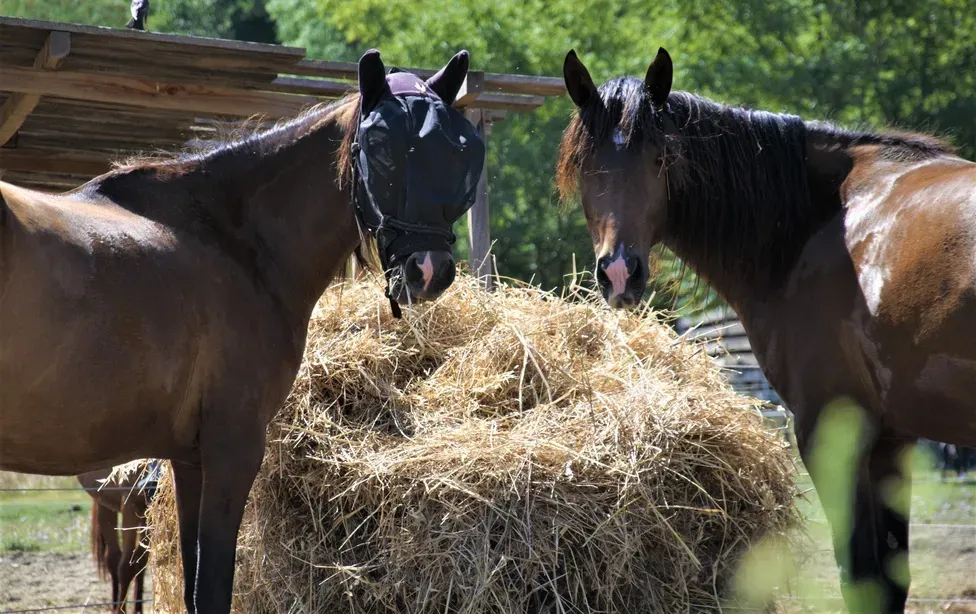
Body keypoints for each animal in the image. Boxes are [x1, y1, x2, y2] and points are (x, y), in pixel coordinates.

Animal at [78, 464, 159, 614]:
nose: (152, 485)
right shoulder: (129, 504)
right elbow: (125, 566)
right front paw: (121, 610)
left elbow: (139, 562)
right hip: (105, 506)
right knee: (113, 559)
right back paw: (116, 606)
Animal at [557, 48, 976, 613]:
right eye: (586, 164)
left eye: (661, 159)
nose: (620, 272)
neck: (818, 223)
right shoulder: (893, 438)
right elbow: (890, 582)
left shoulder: (832, 428)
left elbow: (862, 579)